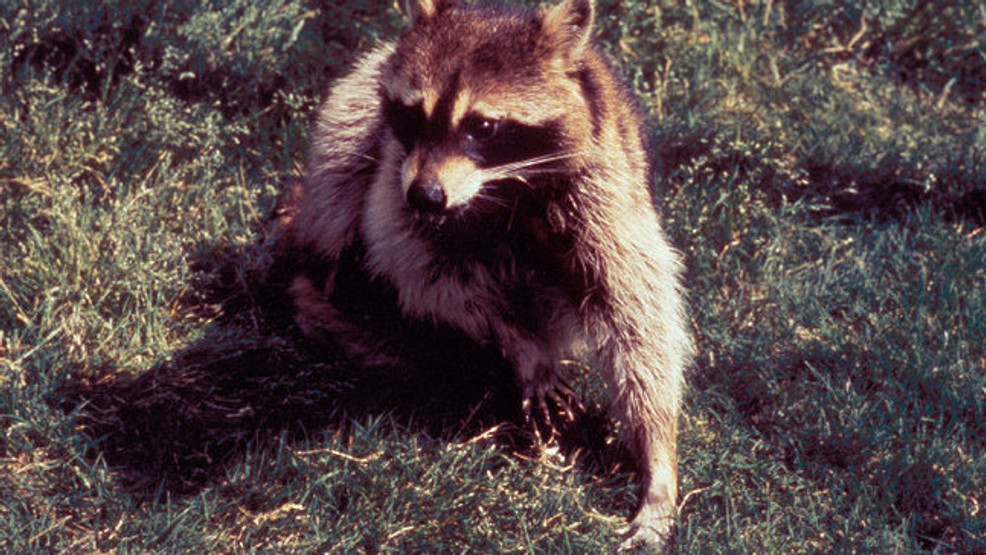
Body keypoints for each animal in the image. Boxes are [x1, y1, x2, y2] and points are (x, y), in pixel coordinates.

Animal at [274, 0, 693, 548]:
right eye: (414, 114)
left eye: (484, 127)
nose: (427, 196)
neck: (498, 186)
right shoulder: (397, 178)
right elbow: (423, 271)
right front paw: (519, 343)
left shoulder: (602, 189)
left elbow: (638, 318)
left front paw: (658, 457)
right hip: (358, 113)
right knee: (341, 158)